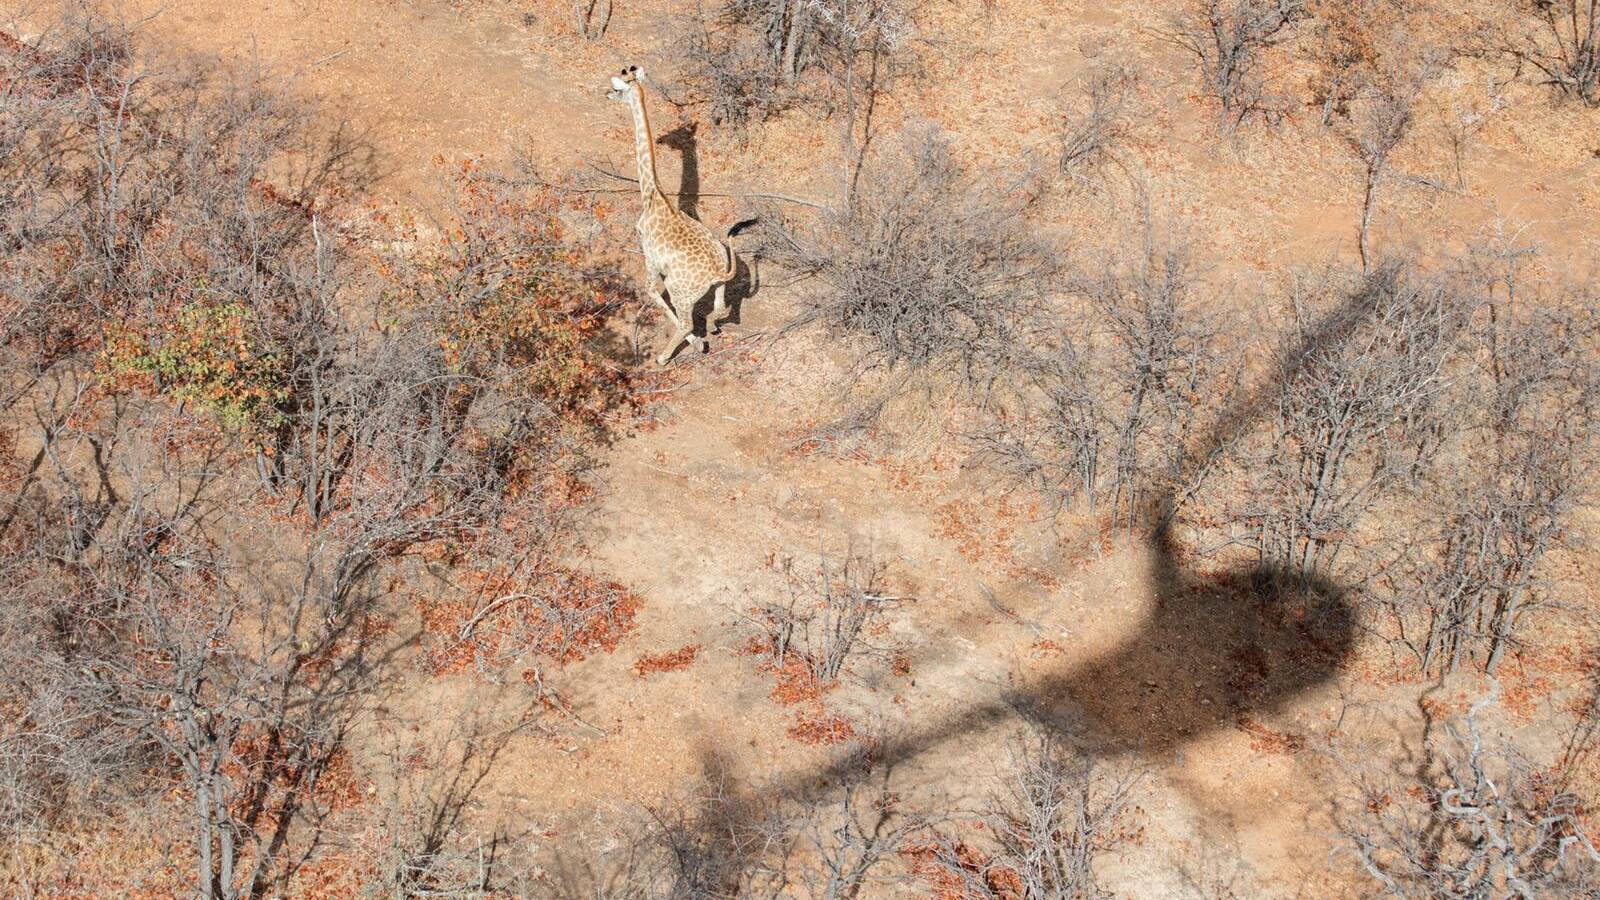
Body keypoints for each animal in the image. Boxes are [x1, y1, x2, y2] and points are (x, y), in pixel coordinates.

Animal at [607, 66, 748, 364]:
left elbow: (650, 291)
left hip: (680, 290)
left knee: (685, 321)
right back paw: (711, 328)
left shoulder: (649, 256)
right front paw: (701, 339)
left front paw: (695, 344)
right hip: (719, 282)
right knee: (721, 308)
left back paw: (666, 356)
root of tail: (716, 270)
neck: (652, 194)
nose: (605, 94)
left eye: (616, 89)